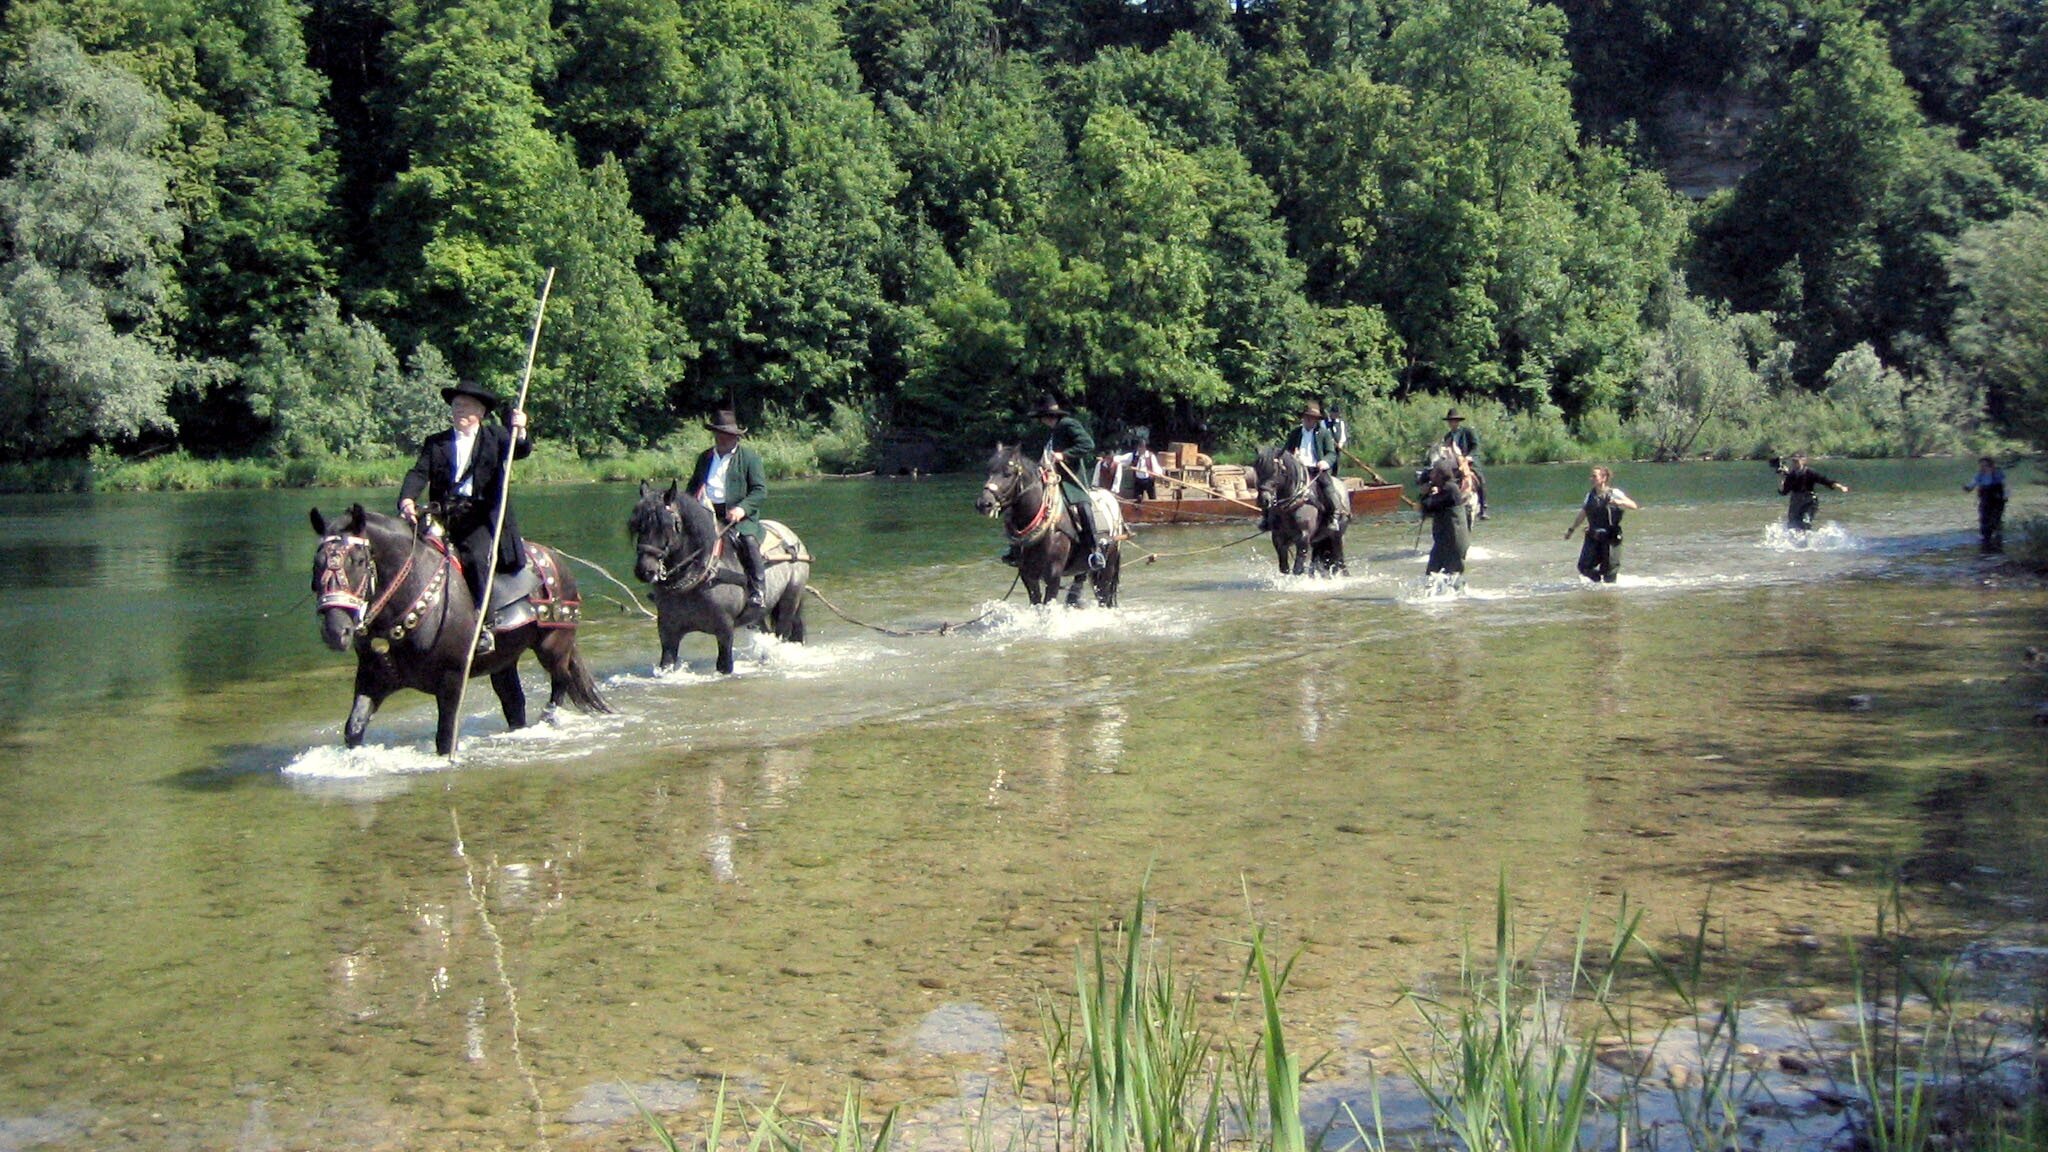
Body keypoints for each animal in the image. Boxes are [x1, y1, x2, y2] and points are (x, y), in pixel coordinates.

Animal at [308, 504, 610, 756]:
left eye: (358, 561)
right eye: (318, 563)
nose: (335, 632)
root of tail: (554, 559)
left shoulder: (453, 679)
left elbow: (445, 737)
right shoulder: (373, 679)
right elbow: (354, 728)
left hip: (553, 645)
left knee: (561, 681)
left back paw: (548, 719)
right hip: (504, 662)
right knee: (514, 702)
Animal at [628, 481, 810, 674]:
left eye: (668, 525)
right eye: (638, 525)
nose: (645, 570)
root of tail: (792, 538)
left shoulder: (724, 630)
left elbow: (724, 665)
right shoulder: (668, 632)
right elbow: (666, 664)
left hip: (788, 602)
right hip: (757, 615)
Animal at [975, 444, 1122, 608]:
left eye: (1008, 473)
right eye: (989, 471)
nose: (984, 503)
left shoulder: (1053, 575)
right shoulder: (1027, 575)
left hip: (1108, 567)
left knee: (1104, 597)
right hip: (1084, 569)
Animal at [1252, 447, 1350, 577]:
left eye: (1276, 471)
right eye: (1257, 470)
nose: (1264, 500)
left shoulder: (1303, 537)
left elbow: (1297, 569)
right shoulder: (1278, 538)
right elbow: (1284, 568)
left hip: (1337, 537)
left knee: (1339, 561)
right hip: (1319, 540)